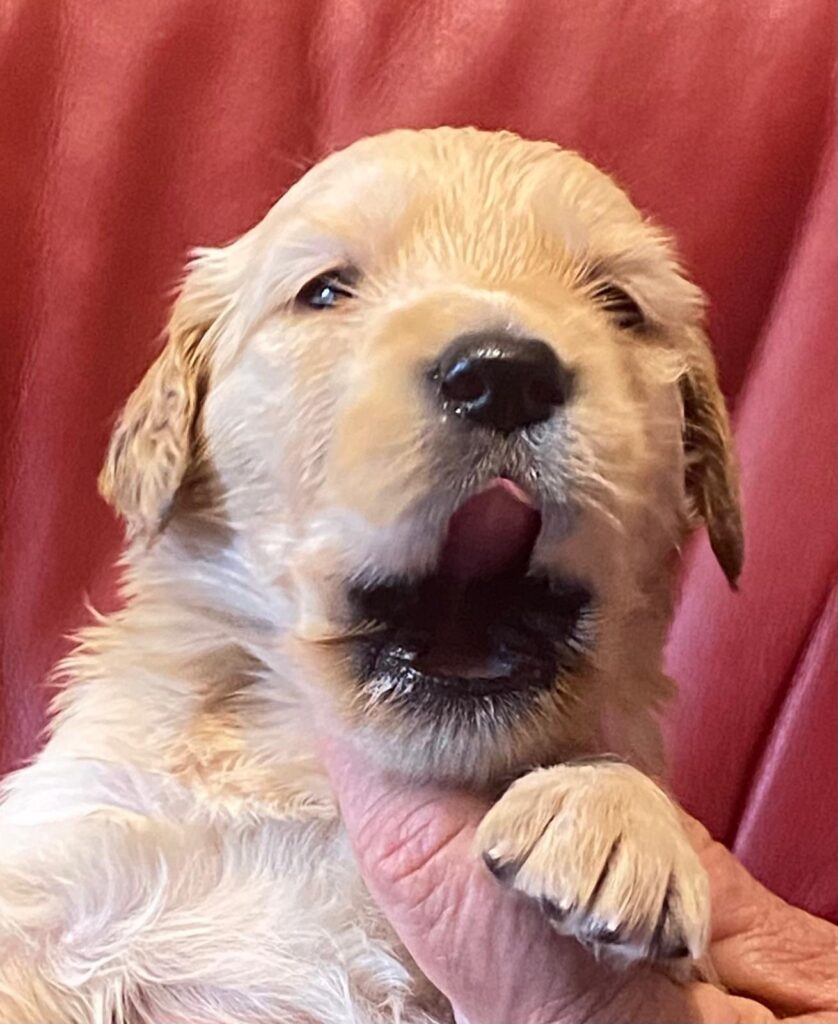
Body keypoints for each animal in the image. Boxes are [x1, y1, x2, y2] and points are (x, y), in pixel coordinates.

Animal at [0, 127, 742, 1023]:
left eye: (621, 305)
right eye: (325, 291)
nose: (502, 372)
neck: (304, 771)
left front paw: (612, 809)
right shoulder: (64, 867)